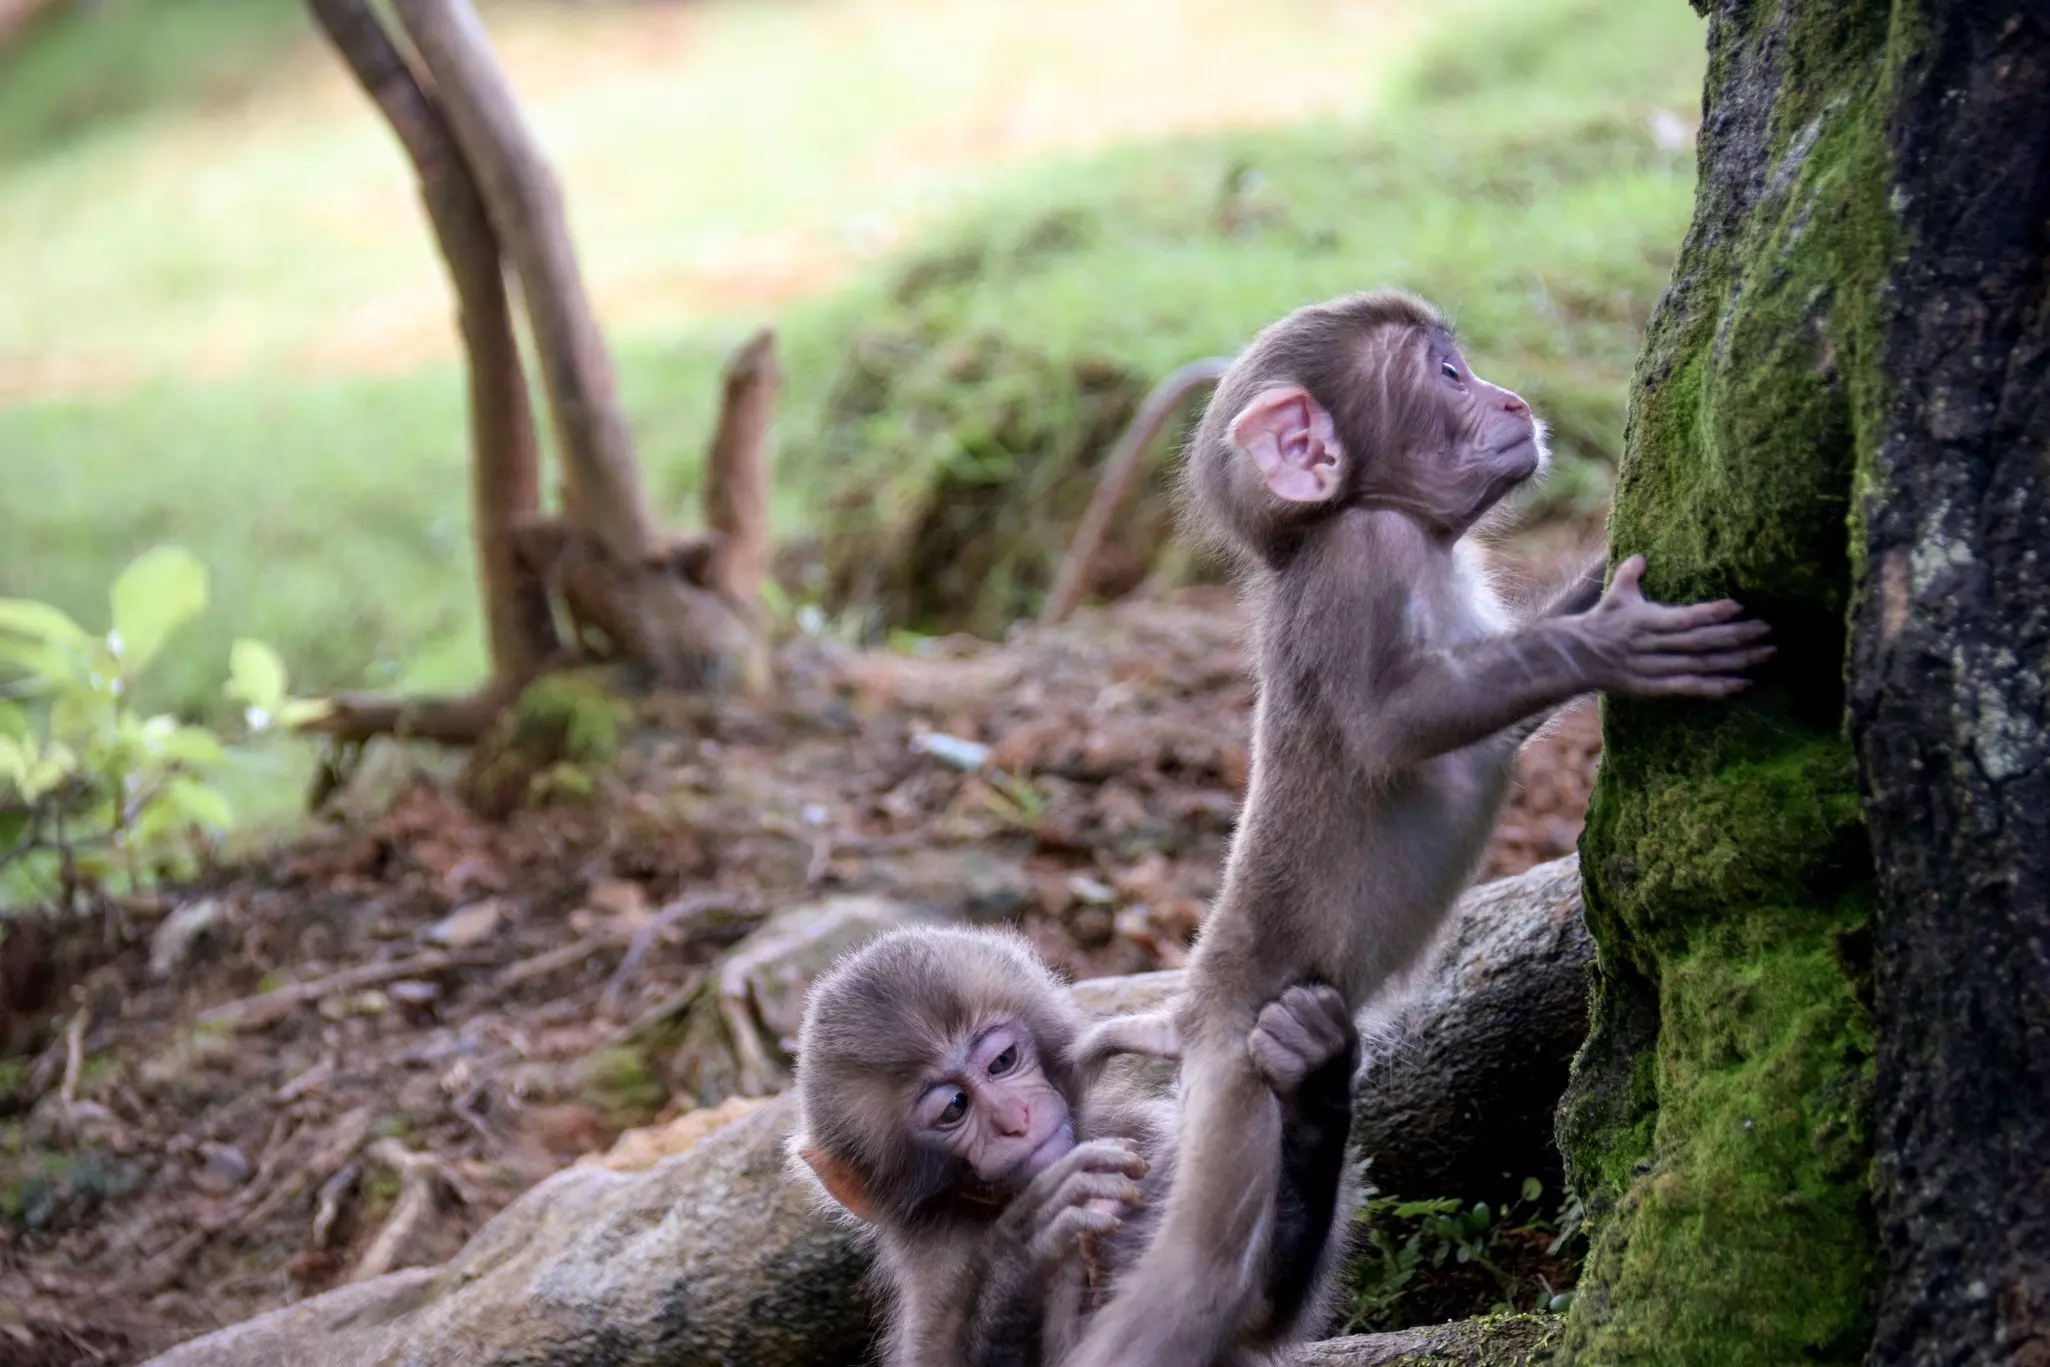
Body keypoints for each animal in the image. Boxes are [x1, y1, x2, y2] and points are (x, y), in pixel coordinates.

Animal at [788, 925, 1358, 1367]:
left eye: (1002, 1062)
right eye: (953, 1108)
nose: (1014, 1119)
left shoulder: (1136, 1135)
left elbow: (1242, 1306)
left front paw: (1314, 1084)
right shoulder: (937, 1251)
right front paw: (1023, 1247)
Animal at [1061, 290, 1776, 1367]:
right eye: (1446, 375)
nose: (1513, 398)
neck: (1396, 526)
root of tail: (1191, 1010)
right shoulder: (1363, 560)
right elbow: (1401, 721)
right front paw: (1612, 637)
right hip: (1234, 1084)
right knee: (1200, 1284)